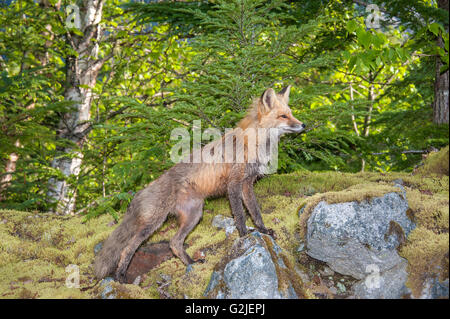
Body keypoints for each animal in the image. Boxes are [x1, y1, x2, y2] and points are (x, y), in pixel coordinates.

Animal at [94, 87, 306, 282]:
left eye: (291, 113)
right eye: (283, 116)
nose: (303, 124)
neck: (254, 143)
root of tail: (140, 192)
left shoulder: (247, 183)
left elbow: (255, 212)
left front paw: (263, 230)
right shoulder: (234, 184)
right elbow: (240, 215)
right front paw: (245, 235)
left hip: (194, 216)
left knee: (174, 243)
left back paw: (191, 263)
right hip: (153, 224)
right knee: (127, 249)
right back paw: (120, 276)